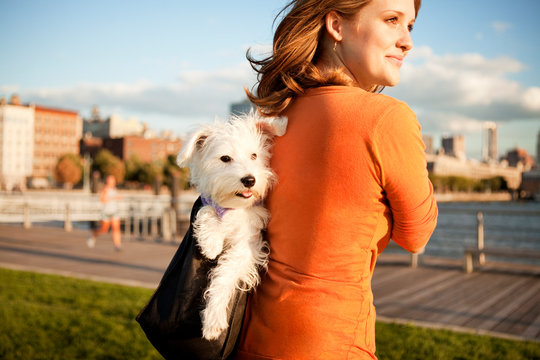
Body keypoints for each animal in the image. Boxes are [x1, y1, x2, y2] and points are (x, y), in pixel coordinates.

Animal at [177, 111, 286, 338]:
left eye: (254, 155)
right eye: (225, 158)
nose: (249, 180)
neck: (234, 208)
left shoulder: (248, 246)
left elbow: (224, 273)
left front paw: (213, 318)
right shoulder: (210, 204)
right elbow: (208, 209)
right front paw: (211, 242)